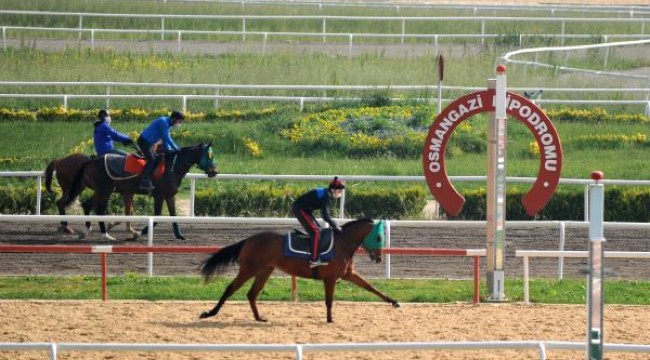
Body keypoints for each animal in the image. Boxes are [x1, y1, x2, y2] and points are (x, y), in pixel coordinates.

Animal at [62, 142, 218, 240]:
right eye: (209, 156)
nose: (214, 171)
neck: (172, 167)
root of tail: (91, 160)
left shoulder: (170, 195)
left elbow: (173, 216)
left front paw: (180, 235)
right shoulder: (159, 195)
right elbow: (157, 217)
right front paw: (138, 233)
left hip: (101, 190)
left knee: (87, 205)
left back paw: (86, 231)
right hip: (104, 190)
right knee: (99, 209)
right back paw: (105, 234)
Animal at [199, 217, 400, 324]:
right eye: (379, 237)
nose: (378, 258)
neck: (342, 244)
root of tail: (248, 240)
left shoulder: (348, 274)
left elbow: (371, 287)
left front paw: (394, 301)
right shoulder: (330, 278)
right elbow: (329, 300)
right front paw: (330, 319)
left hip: (265, 270)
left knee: (252, 293)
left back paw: (259, 317)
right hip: (249, 269)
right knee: (230, 289)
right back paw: (209, 313)